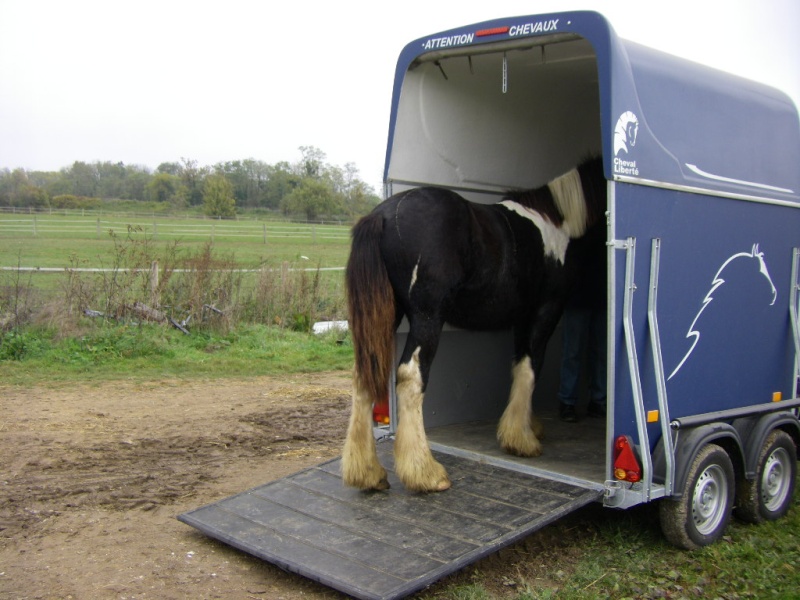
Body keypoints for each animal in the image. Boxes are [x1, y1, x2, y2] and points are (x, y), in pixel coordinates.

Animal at [340, 158, 608, 492]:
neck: (558, 222)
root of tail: (382, 216)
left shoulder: (522, 317)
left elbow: (520, 365)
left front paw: (527, 425)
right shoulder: (546, 310)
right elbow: (531, 366)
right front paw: (521, 439)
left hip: (383, 317)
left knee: (363, 375)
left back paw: (368, 473)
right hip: (427, 318)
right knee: (411, 377)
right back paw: (425, 472)